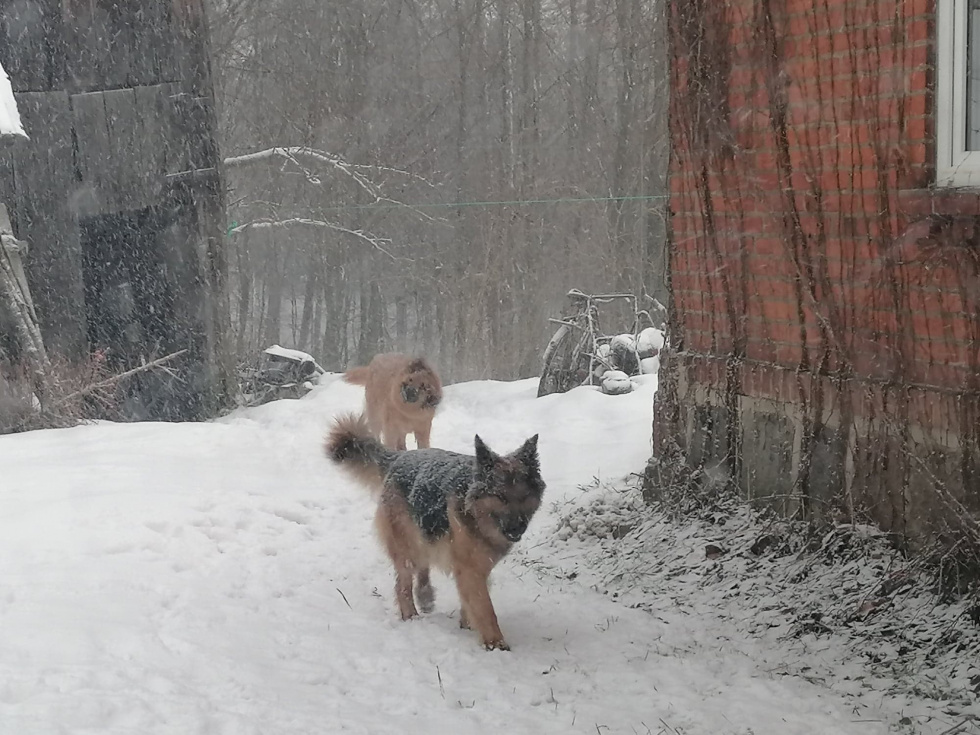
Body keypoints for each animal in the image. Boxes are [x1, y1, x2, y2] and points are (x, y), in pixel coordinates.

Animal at [328, 414, 544, 648]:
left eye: (524, 496)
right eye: (500, 497)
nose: (517, 527)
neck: (474, 511)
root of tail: (399, 457)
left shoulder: (477, 569)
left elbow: (471, 603)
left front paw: (468, 626)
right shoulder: (470, 570)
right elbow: (486, 609)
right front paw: (496, 644)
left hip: (424, 536)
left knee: (423, 567)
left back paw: (425, 596)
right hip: (406, 547)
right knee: (403, 585)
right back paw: (411, 616)